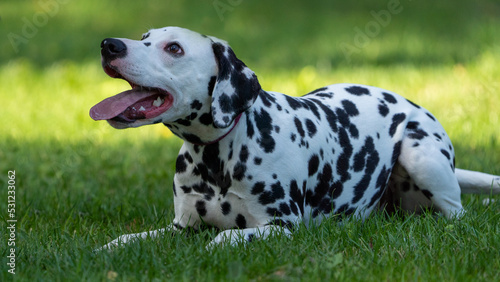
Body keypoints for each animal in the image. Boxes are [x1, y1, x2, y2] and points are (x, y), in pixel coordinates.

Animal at [91, 25, 500, 247]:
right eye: (144, 37)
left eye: (174, 48)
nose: (109, 44)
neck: (219, 157)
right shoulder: (180, 228)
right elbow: (124, 240)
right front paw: (106, 248)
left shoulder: (281, 227)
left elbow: (224, 237)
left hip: (422, 157)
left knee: (456, 212)